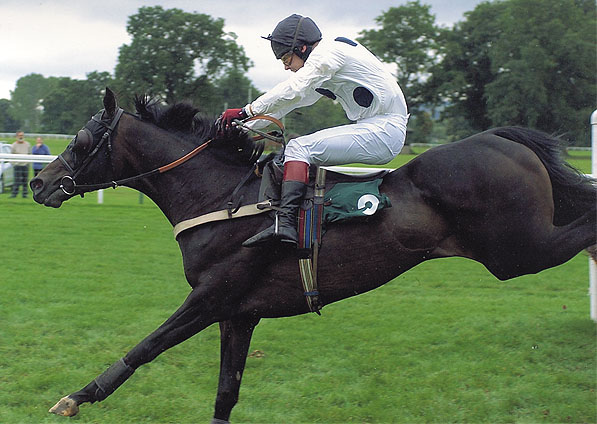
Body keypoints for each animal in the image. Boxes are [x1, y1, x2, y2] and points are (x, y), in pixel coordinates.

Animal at [30, 88, 592, 422]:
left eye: (82, 139)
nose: (39, 182)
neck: (223, 197)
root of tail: (505, 141)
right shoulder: (239, 313)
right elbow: (225, 392)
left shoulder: (211, 298)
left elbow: (145, 347)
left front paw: (76, 397)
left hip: (518, 251)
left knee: (589, 225)